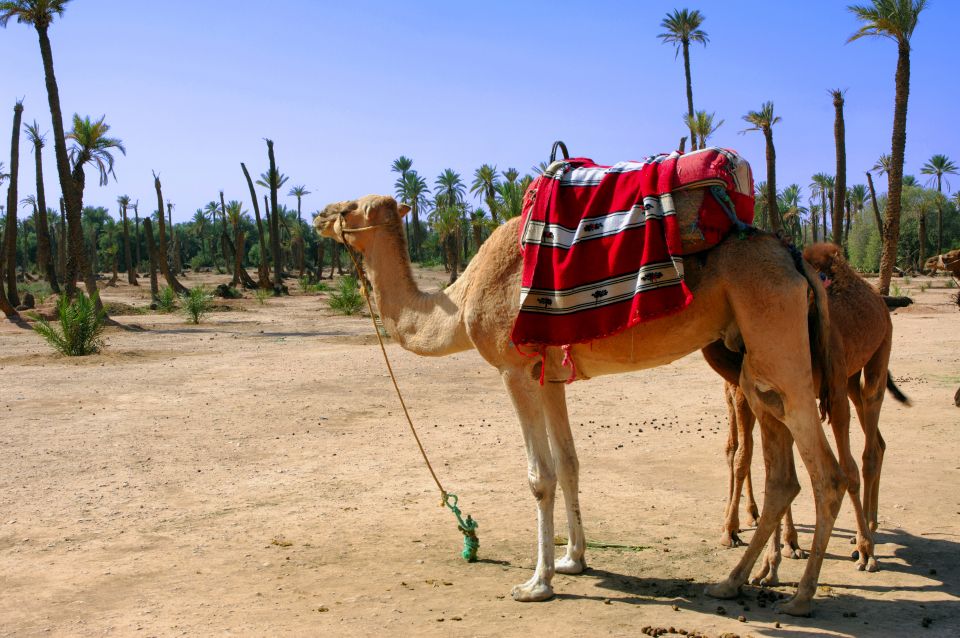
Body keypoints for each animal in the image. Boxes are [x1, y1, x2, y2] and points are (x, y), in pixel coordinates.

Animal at [316, 196, 848, 620]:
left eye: (351, 207)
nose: (320, 215)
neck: (462, 300)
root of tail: (795, 258)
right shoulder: (549, 376)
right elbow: (569, 463)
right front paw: (573, 560)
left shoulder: (514, 369)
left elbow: (540, 476)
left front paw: (537, 583)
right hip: (755, 361)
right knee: (784, 475)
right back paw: (733, 581)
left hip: (777, 338)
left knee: (827, 474)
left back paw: (800, 597)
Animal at [704, 242, 908, 584]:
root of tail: (879, 299)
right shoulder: (769, 396)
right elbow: (762, 462)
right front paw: (771, 560)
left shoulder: (823, 388)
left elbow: (842, 469)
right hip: (848, 379)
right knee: (876, 441)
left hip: (877, 356)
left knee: (869, 447)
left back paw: (867, 538)